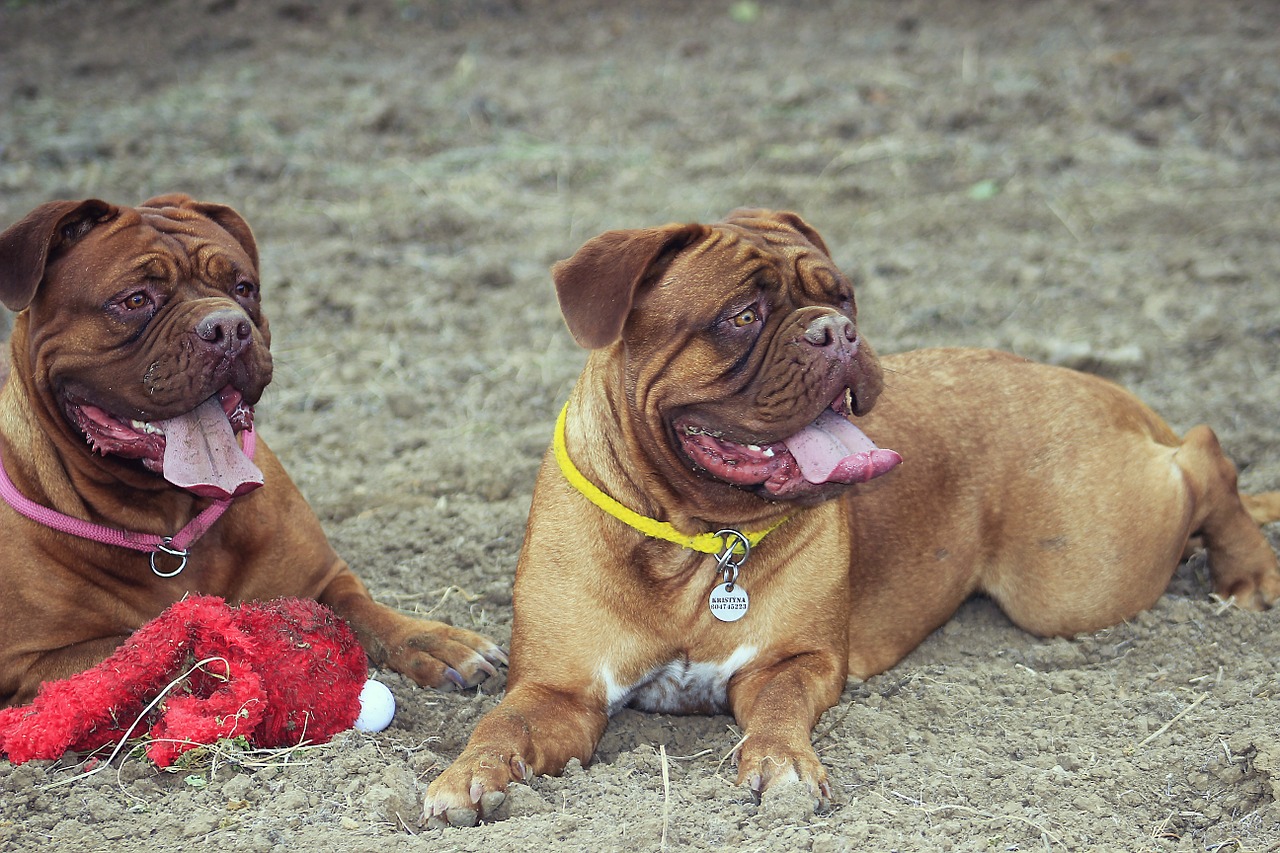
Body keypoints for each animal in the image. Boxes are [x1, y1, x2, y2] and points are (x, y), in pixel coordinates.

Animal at [0, 195, 506, 706]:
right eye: (135, 299)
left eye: (243, 288)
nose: (227, 327)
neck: (171, 523)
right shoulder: (31, 663)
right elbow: (158, 646)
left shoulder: (323, 578)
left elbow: (362, 609)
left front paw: (434, 639)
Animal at [422, 207, 1280, 824]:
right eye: (741, 315)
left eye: (841, 295)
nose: (837, 330)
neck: (694, 536)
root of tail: (1081, 380)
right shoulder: (560, 693)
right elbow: (499, 727)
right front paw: (466, 777)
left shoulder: (792, 663)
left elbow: (776, 717)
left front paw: (782, 767)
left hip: (1077, 574)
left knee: (1207, 451)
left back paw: (1248, 573)